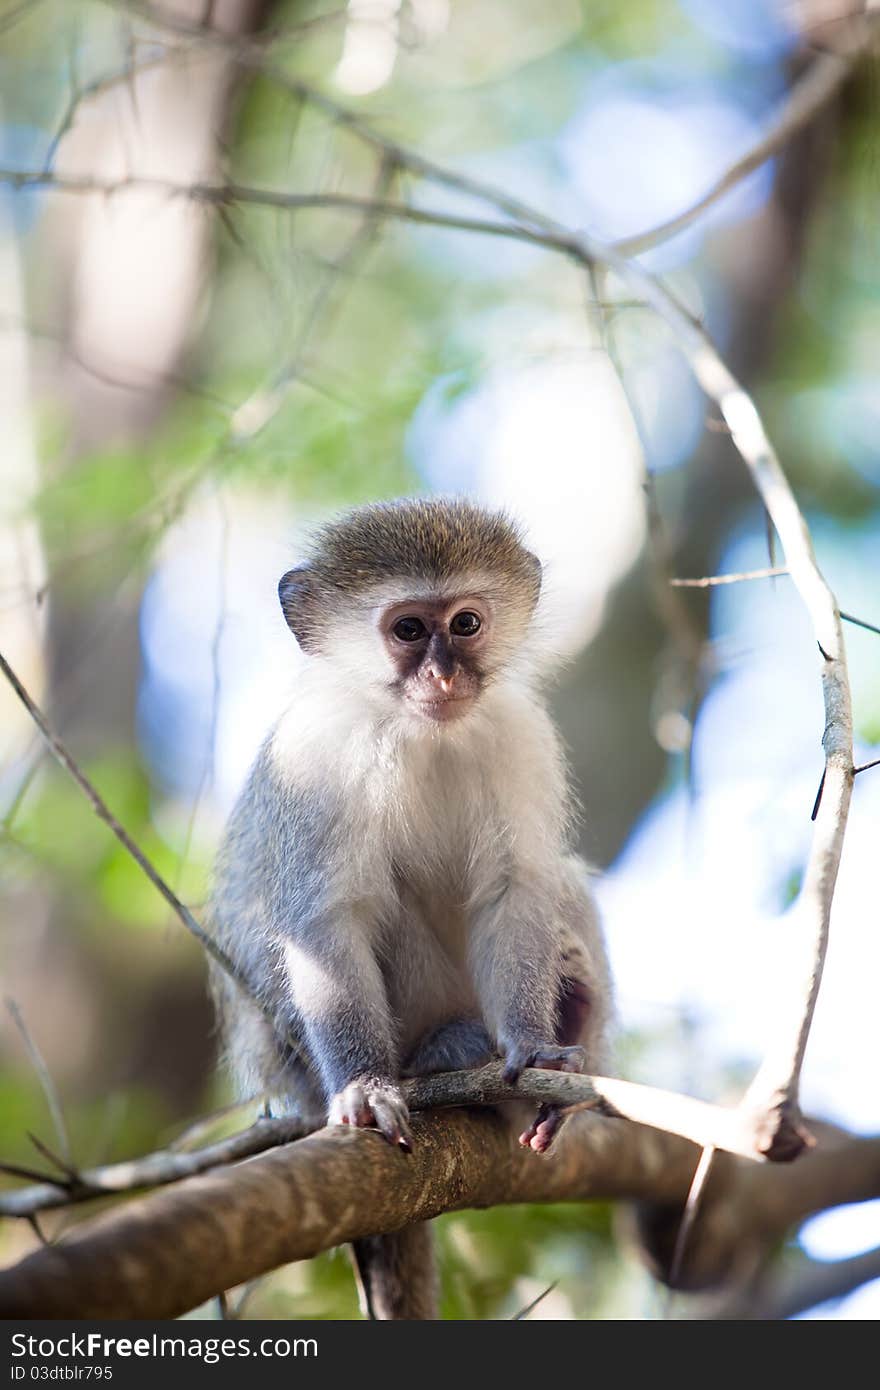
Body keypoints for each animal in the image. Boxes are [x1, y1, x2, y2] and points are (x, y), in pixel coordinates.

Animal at [211, 494, 611, 1317]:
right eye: (407, 630)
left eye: (464, 623)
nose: (441, 674)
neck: (422, 734)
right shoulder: (316, 758)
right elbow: (326, 923)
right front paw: (367, 1087)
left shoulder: (519, 732)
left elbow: (516, 889)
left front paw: (534, 1044)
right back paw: (441, 1056)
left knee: (559, 883)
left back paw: (570, 1012)